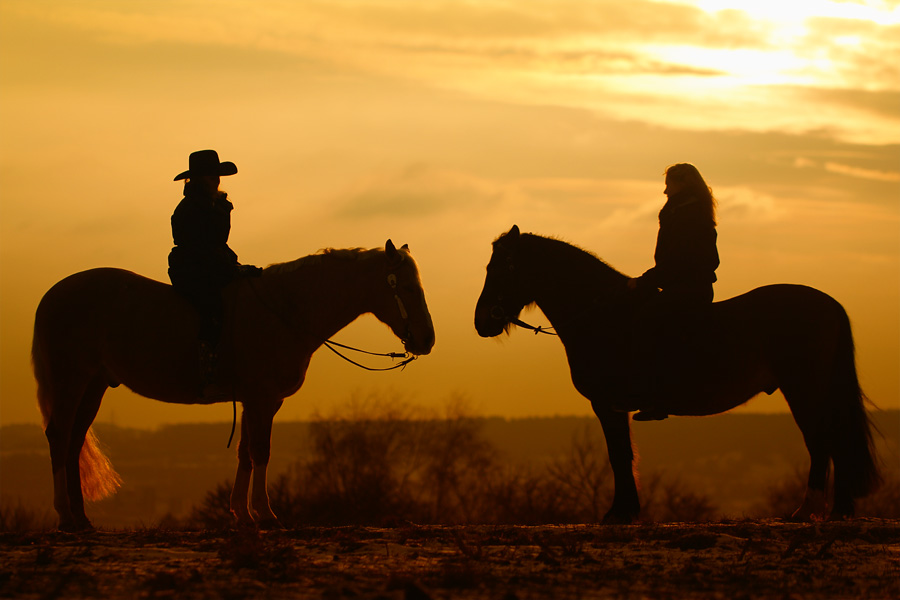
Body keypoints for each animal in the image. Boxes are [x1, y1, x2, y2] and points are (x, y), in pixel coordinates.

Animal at [31, 239, 432, 528]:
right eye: (409, 288)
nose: (427, 340)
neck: (286, 309)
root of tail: (51, 296)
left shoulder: (260, 401)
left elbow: (245, 453)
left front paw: (242, 512)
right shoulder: (262, 398)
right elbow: (261, 452)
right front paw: (265, 513)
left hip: (93, 384)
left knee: (74, 441)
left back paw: (81, 517)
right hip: (71, 380)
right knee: (59, 436)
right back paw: (65, 515)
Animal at [478, 227, 880, 524]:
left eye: (501, 268)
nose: (482, 321)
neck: (604, 315)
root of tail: (830, 304)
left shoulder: (606, 404)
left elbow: (618, 455)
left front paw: (619, 513)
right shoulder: (614, 407)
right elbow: (624, 454)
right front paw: (627, 511)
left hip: (803, 389)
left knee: (822, 441)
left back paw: (808, 510)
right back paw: (840, 510)